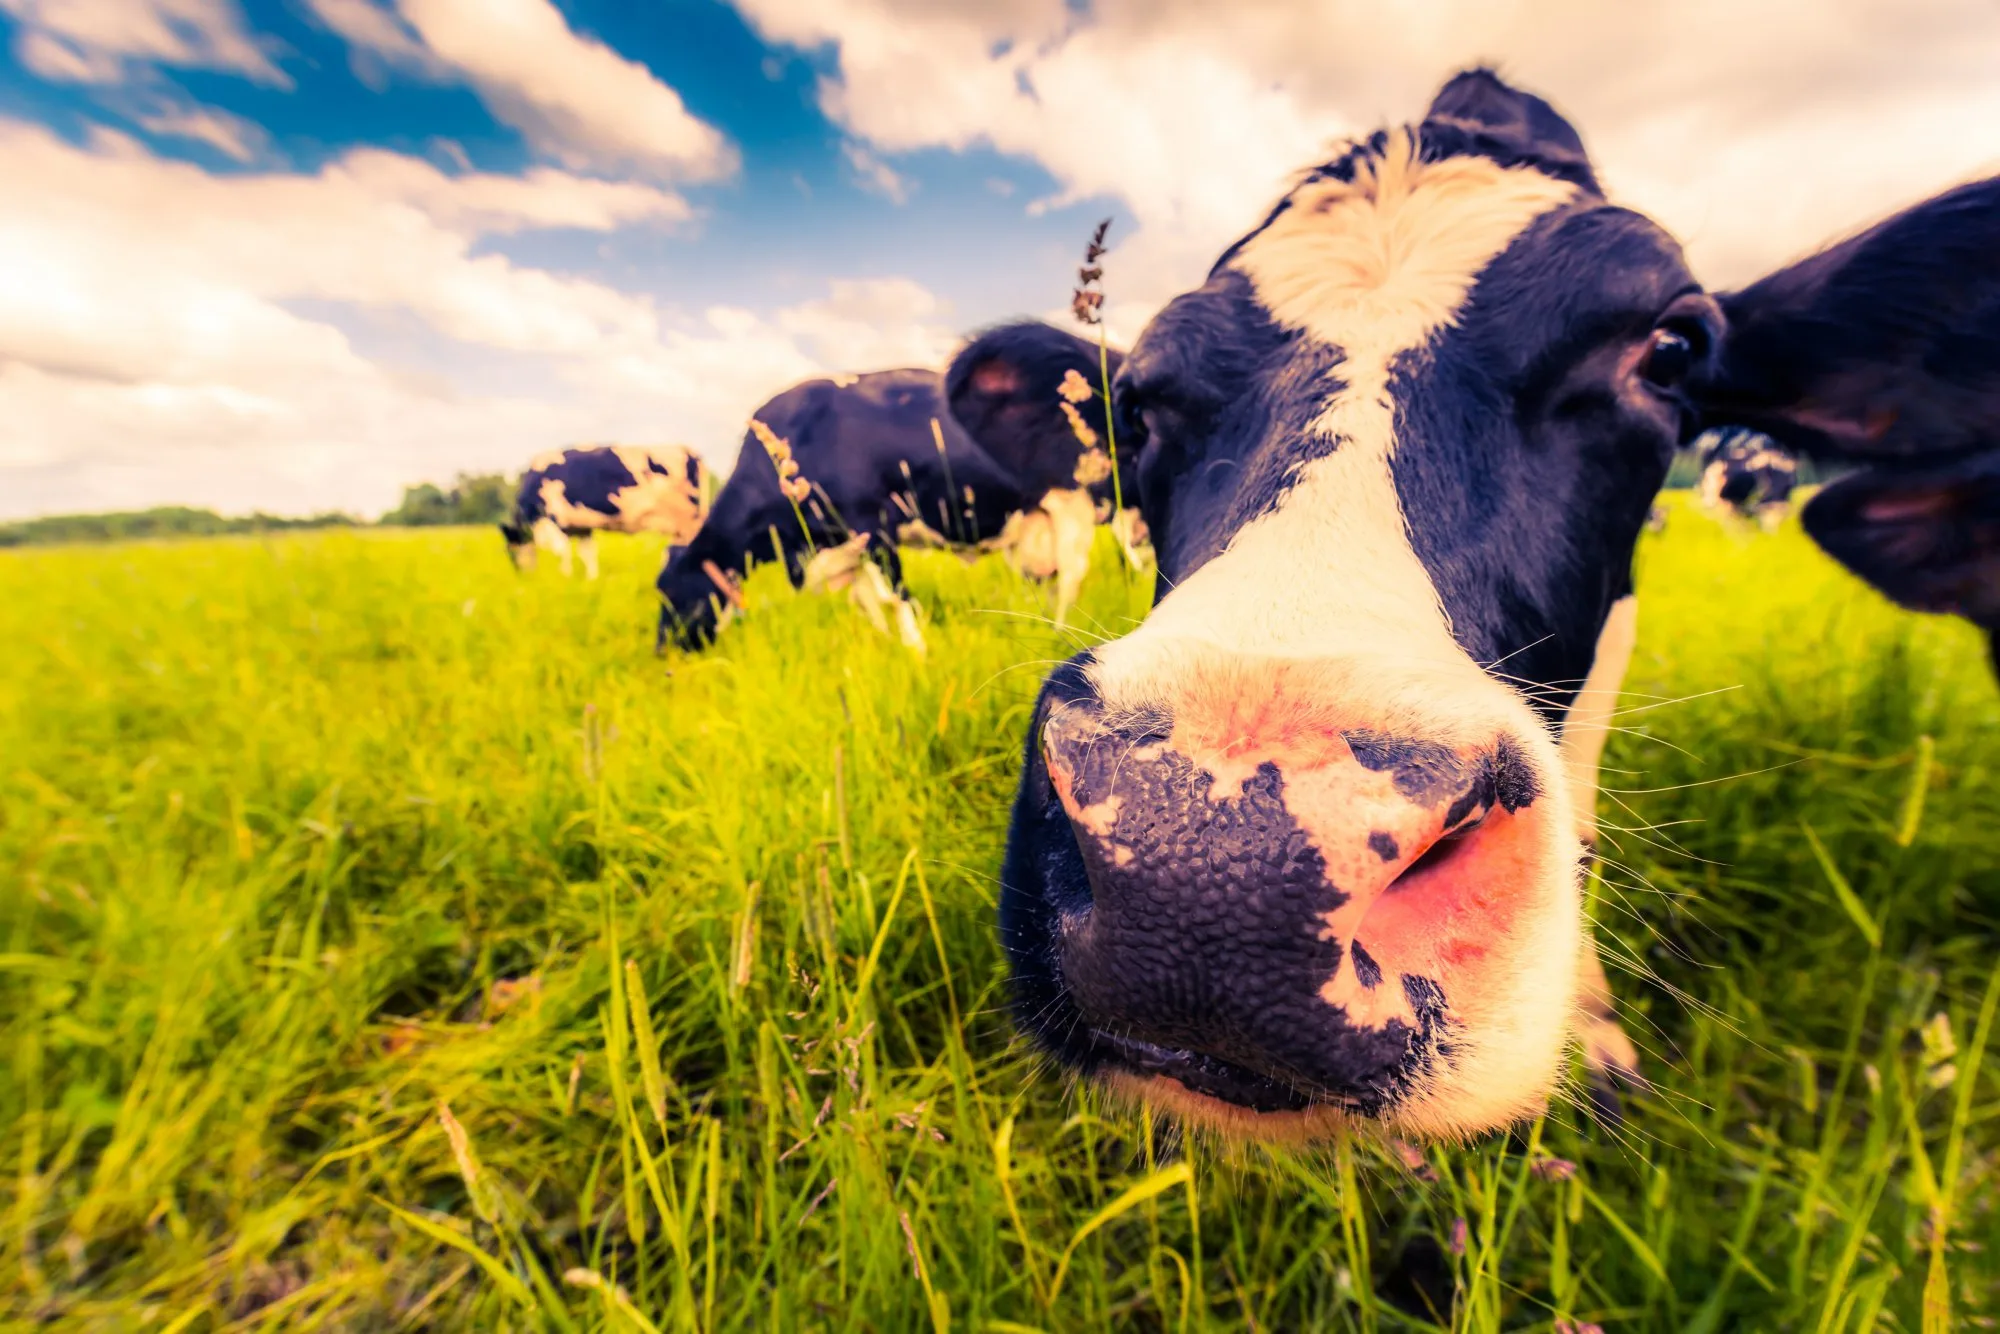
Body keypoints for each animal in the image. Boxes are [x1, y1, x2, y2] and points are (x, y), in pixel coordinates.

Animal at [501, 445, 708, 579]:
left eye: (509, 550)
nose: (521, 578)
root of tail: (688, 450)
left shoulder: (552, 520)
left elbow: (562, 551)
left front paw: (565, 577)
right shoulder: (580, 527)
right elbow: (587, 553)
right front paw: (591, 580)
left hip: (688, 520)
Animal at [655, 324, 1135, 651]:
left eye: (672, 592)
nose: (664, 655)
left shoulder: (874, 526)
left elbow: (895, 598)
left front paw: (917, 652)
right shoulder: (843, 548)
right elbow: (868, 601)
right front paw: (887, 646)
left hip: (1076, 499)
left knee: (1075, 573)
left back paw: (1060, 634)